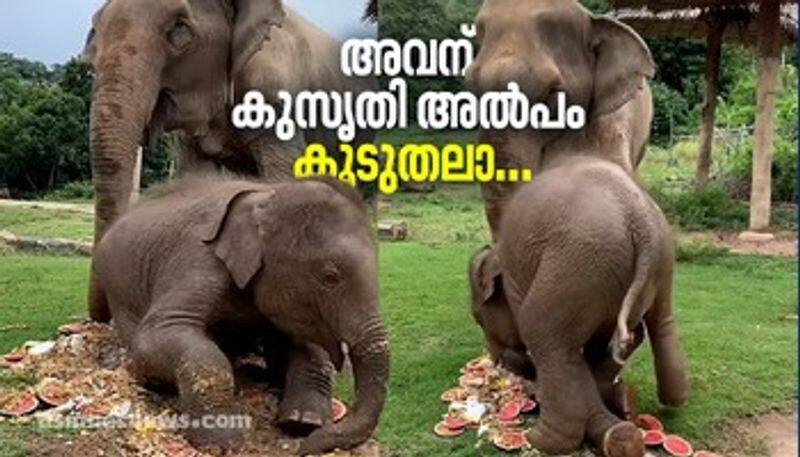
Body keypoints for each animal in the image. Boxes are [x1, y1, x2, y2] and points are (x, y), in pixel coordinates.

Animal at [91, 176, 390, 454]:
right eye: (330, 277)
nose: (304, 449)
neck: (266, 195)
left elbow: (303, 346)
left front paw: (304, 423)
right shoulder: (198, 259)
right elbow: (157, 338)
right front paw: (222, 443)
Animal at [468, 157, 688, 456]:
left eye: (479, 319)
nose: (496, 364)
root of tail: (639, 220)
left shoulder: (516, 278)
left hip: (580, 262)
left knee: (544, 334)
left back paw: (544, 440)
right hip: (654, 264)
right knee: (659, 323)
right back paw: (646, 415)